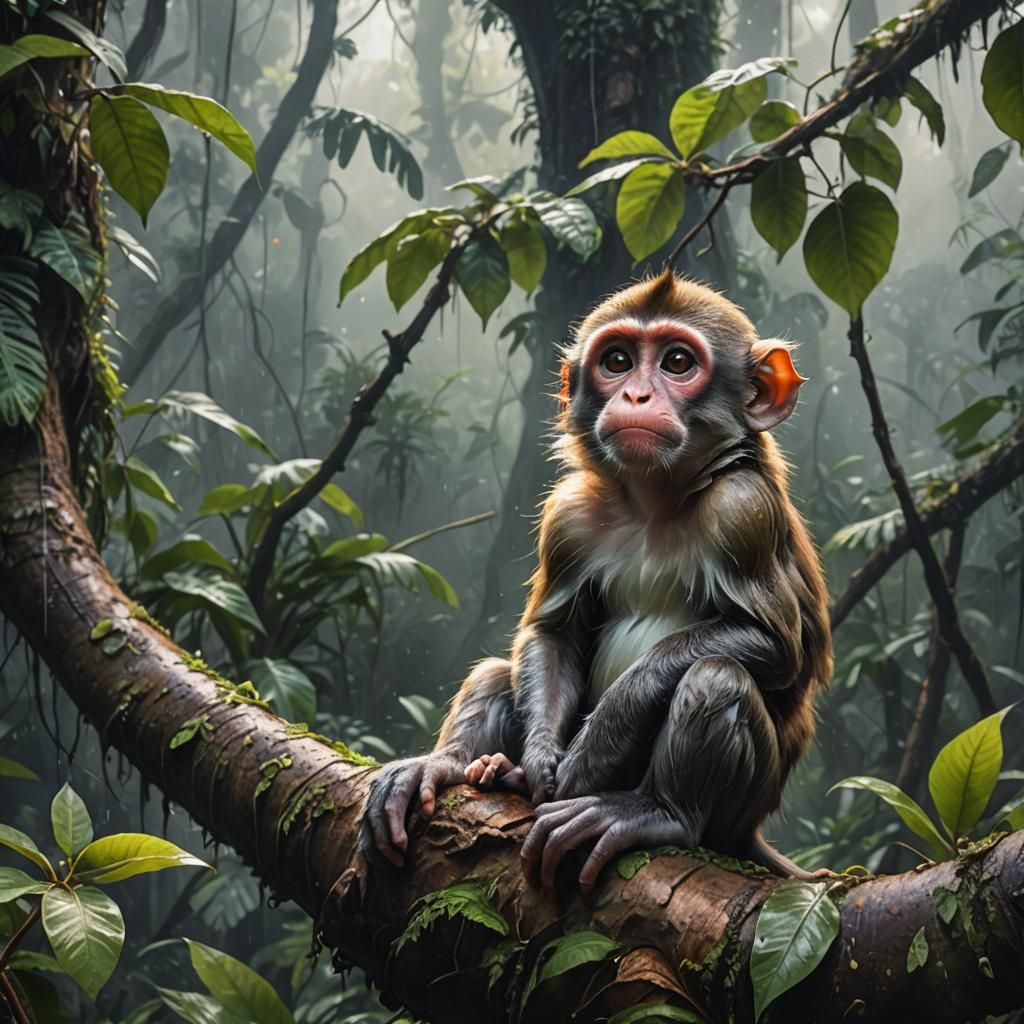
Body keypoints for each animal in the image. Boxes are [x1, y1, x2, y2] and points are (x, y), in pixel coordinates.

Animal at [361, 269, 832, 892]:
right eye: (617, 360)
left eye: (677, 362)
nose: (635, 396)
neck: (656, 503)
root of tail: (750, 830)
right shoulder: (570, 514)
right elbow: (554, 633)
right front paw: (538, 760)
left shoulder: (743, 508)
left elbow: (773, 644)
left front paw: (598, 743)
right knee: (497, 671)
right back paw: (459, 766)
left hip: (743, 802)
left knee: (716, 677)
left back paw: (655, 811)